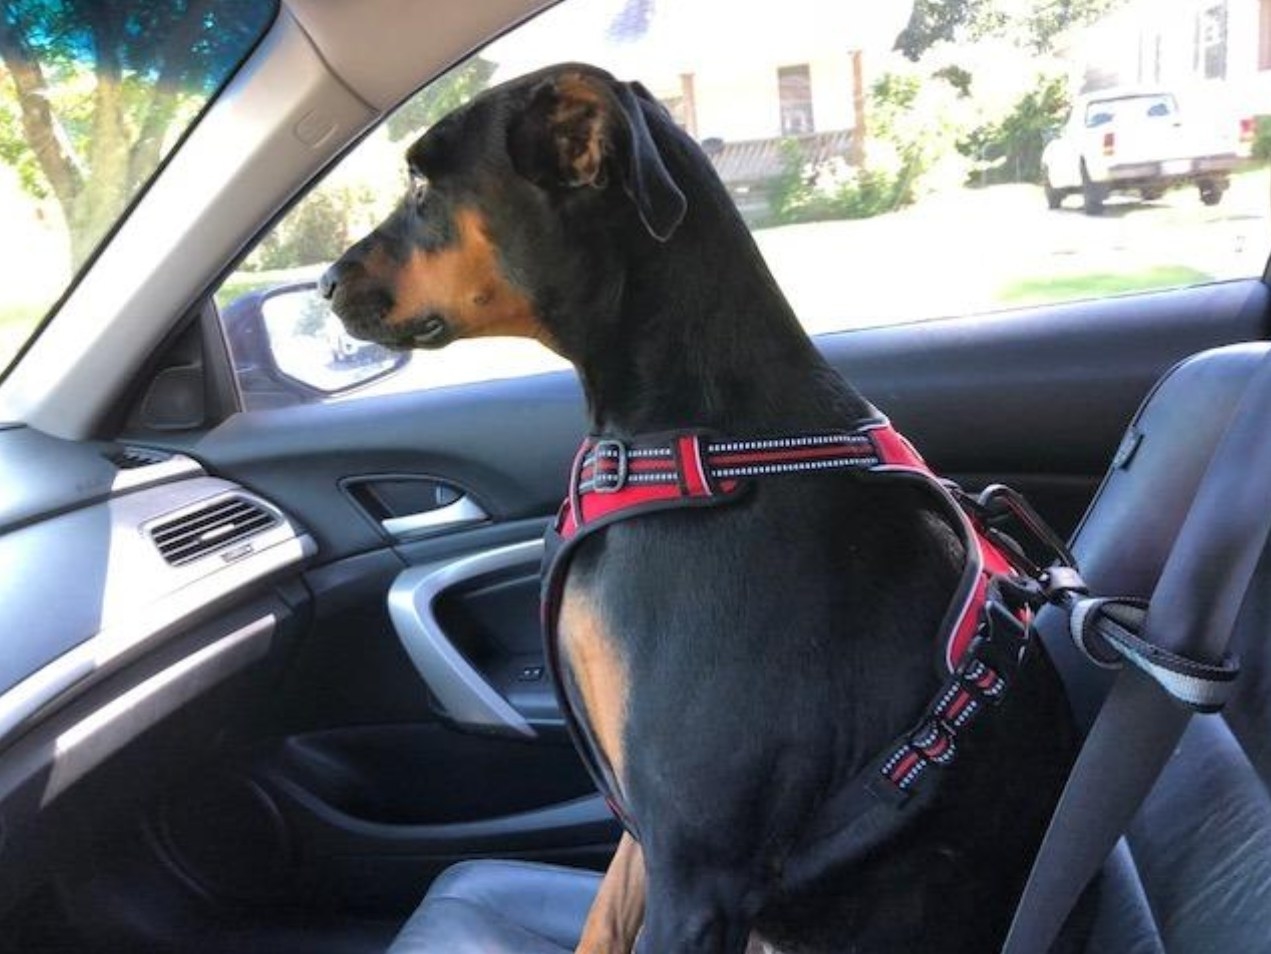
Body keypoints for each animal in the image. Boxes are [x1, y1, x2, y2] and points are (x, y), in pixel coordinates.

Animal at [322, 63, 1077, 950]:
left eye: (421, 190)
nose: (324, 282)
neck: (698, 447)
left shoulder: (695, 861)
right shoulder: (643, 829)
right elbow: (600, 921)